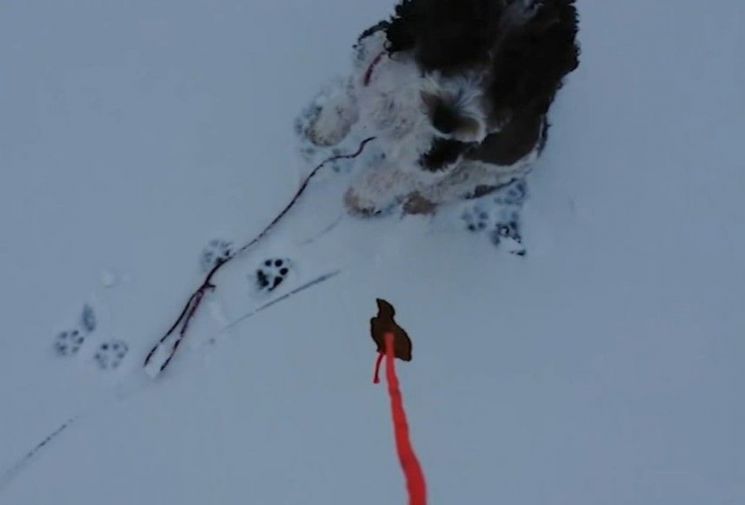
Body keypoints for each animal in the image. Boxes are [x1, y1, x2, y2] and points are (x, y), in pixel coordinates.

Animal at [306, 0, 580, 215]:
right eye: (463, 38)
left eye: (512, 79)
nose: (445, 121)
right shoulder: (368, 70)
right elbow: (346, 103)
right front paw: (325, 131)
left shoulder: (431, 160)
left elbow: (389, 177)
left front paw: (361, 199)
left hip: (473, 177)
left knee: (438, 192)